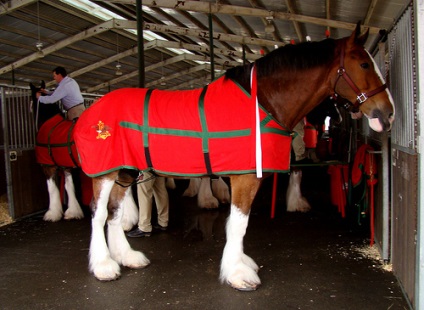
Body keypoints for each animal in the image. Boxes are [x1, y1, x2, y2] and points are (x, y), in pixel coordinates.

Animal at [73, 24, 394, 290]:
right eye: (364, 63)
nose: (388, 114)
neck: (262, 103)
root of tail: (91, 112)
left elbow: (238, 224)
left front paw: (240, 264)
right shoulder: (245, 178)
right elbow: (239, 224)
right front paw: (238, 274)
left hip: (124, 171)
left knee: (114, 213)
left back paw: (126, 257)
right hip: (105, 174)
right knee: (99, 213)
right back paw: (103, 266)